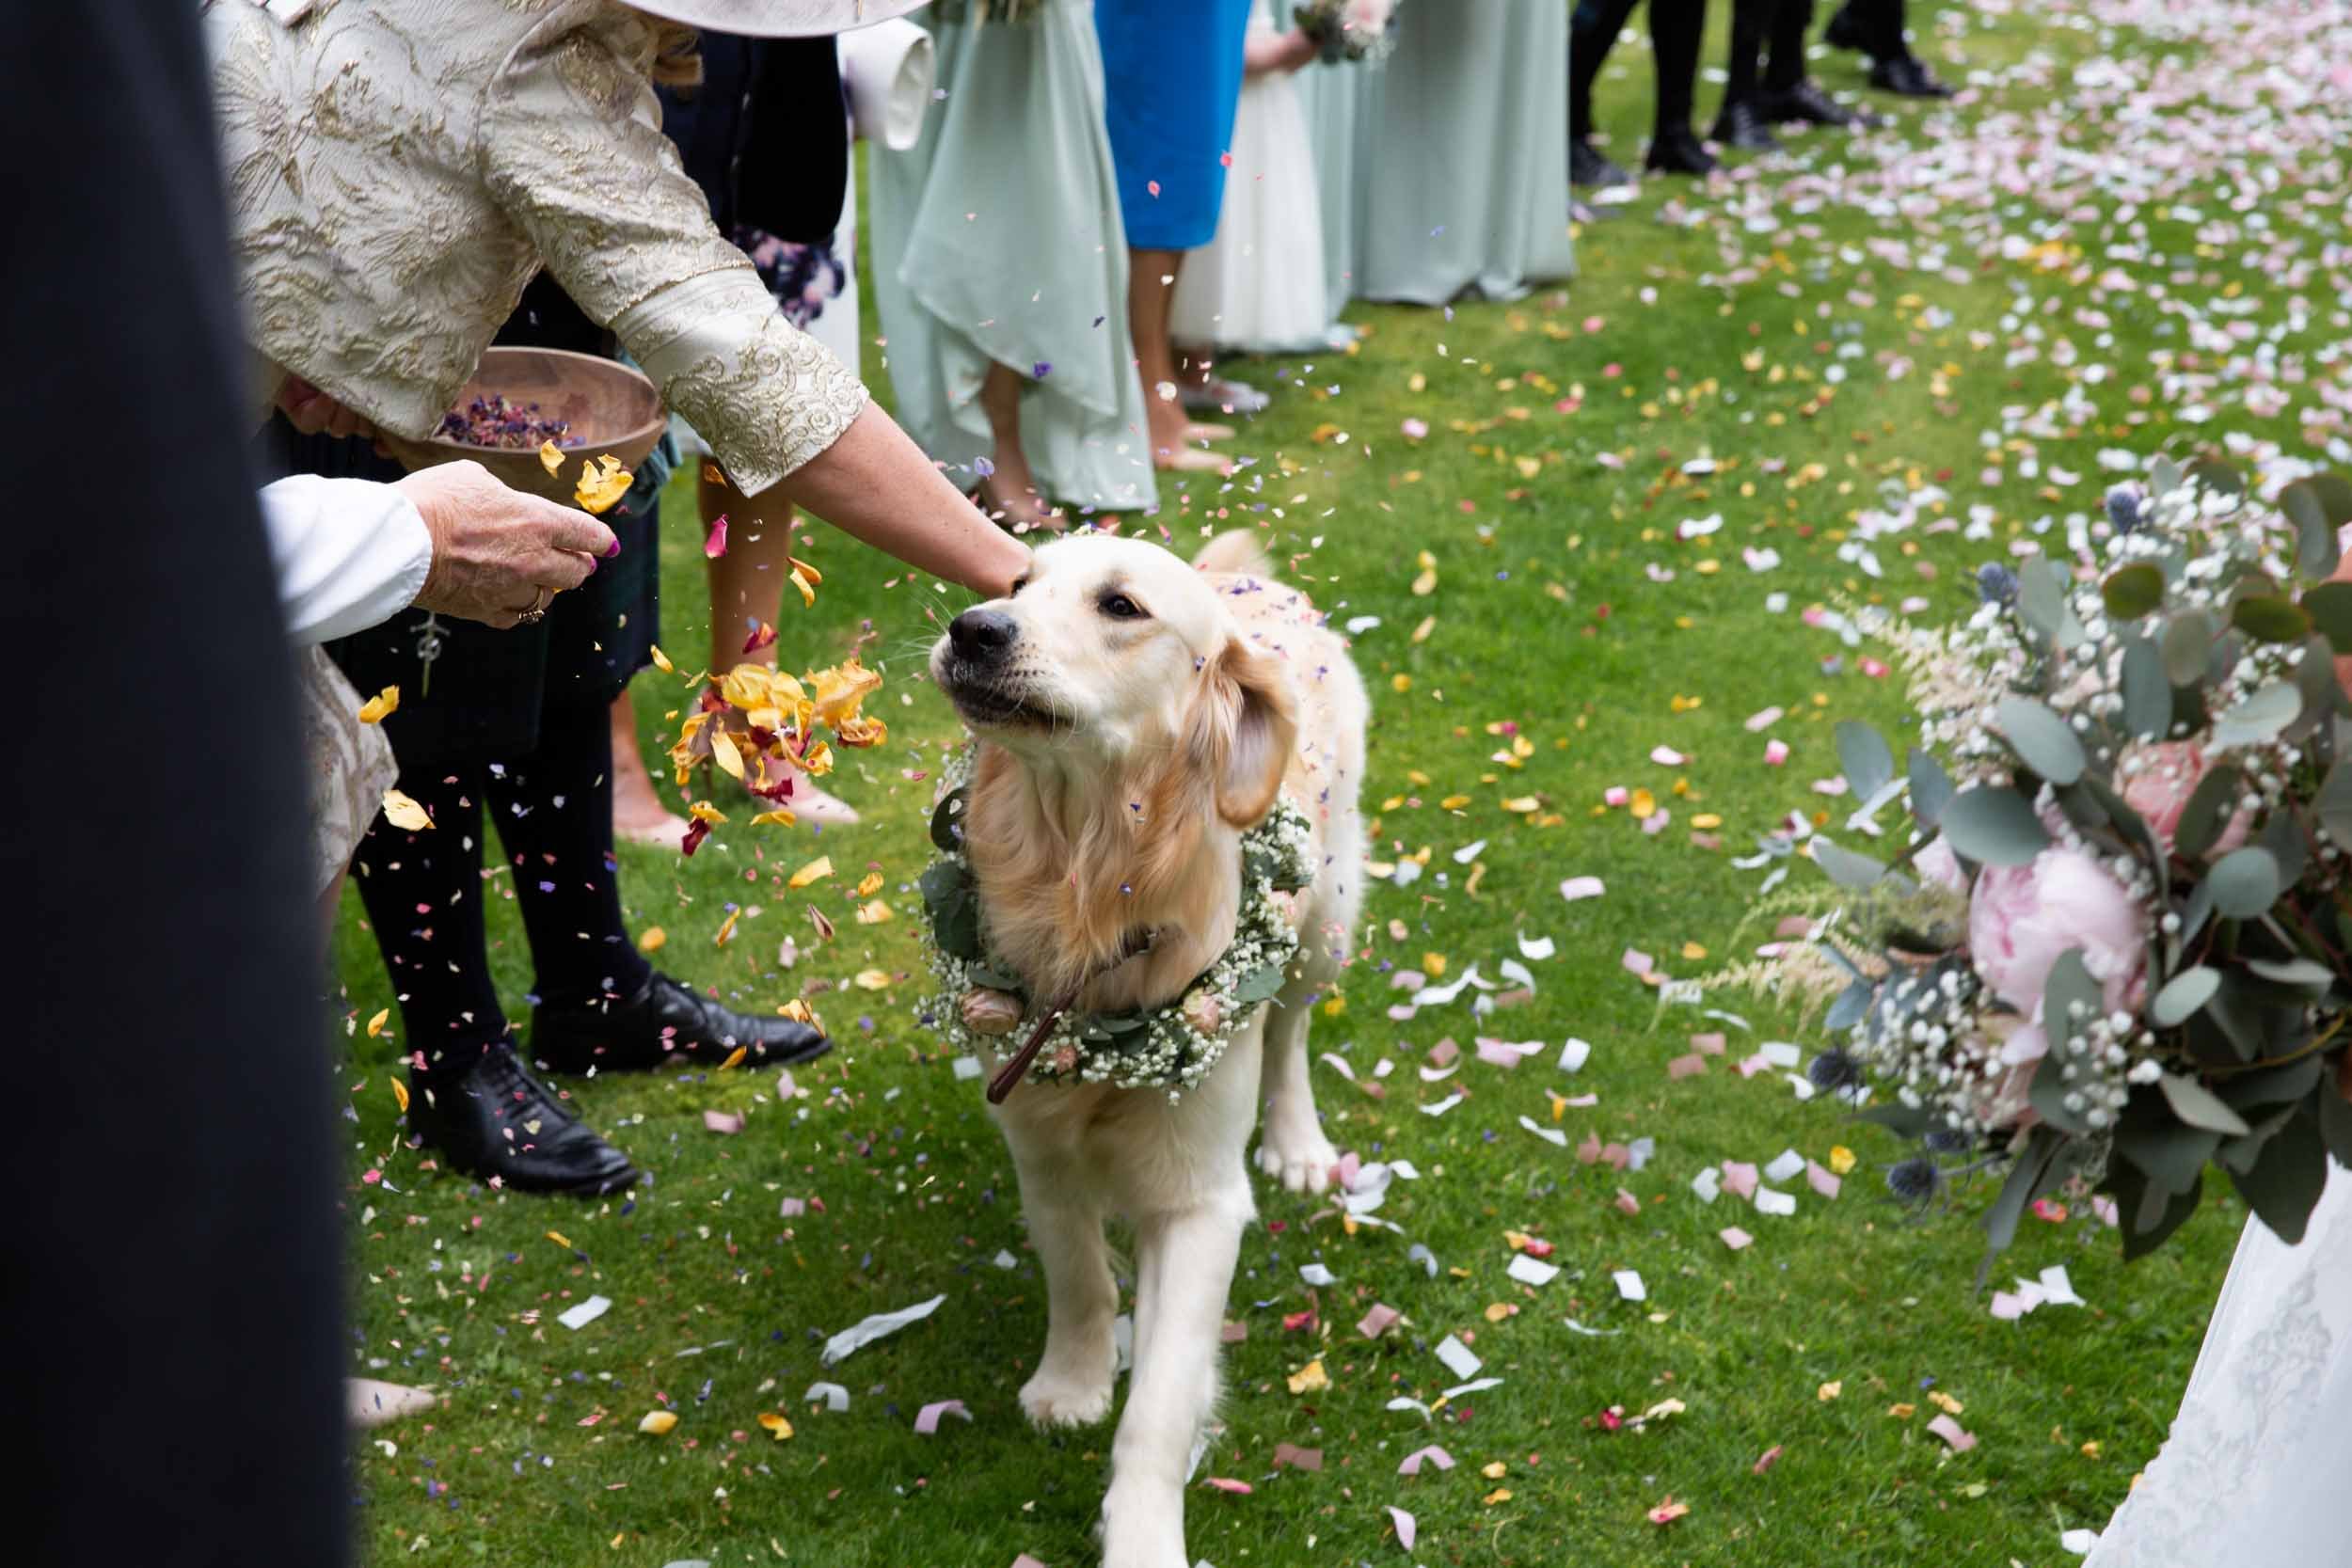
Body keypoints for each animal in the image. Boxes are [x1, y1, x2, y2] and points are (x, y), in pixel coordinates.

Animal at [927, 531, 1374, 1568]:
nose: (972, 629)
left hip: (1323, 925)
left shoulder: (1201, 1199)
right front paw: (1073, 1382)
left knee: (1291, 1029)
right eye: (1016, 583)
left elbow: (1162, 1405)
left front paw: (1139, 1536)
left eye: (1120, 606)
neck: (1088, 875)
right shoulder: (1038, 1137)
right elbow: (1080, 1274)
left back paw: (1298, 1142)